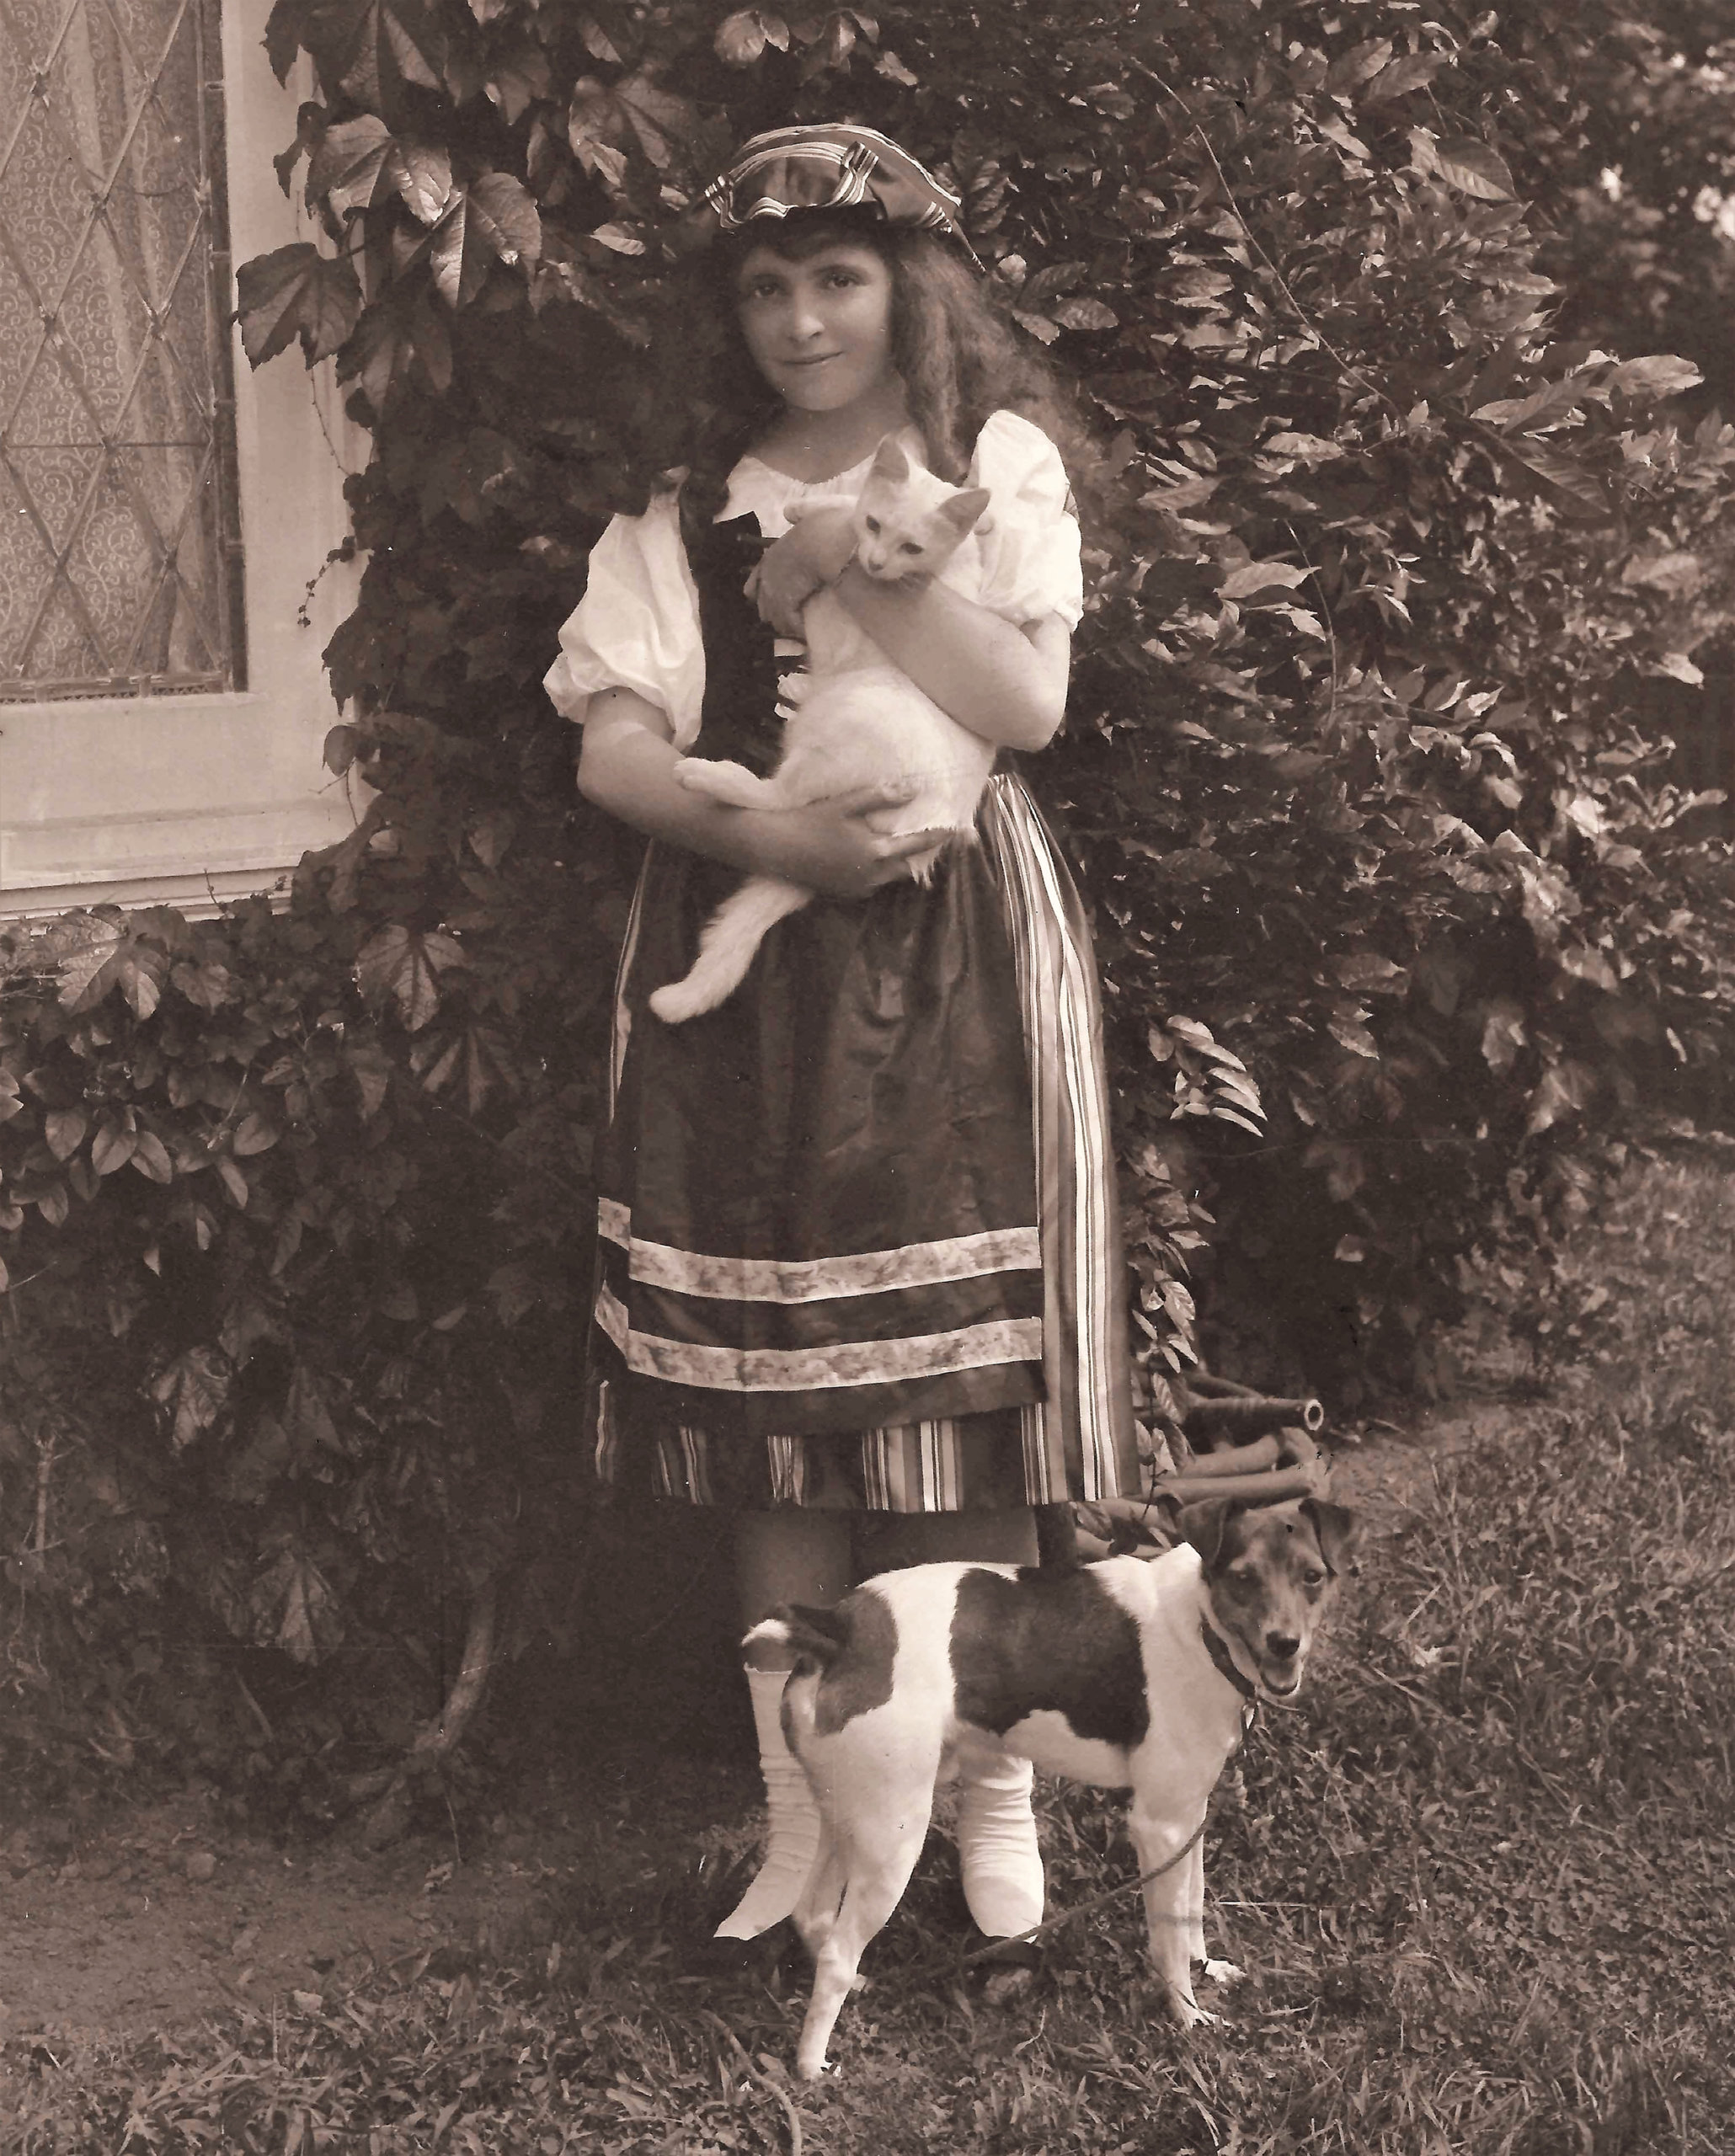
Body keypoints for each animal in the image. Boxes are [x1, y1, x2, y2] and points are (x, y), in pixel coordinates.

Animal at [650, 437, 996, 1026]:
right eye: (878, 526)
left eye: (912, 547)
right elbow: (845, 507)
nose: (875, 563)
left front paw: (813, 520)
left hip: (845, 722)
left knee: (778, 797)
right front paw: (814, 509)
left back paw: (709, 775)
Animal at [750, 1500, 1362, 2069]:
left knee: (812, 1915)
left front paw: (1206, 1969)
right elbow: (1167, 1936)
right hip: (893, 1837)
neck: (1200, 1625)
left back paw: (852, 1990)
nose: (1285, 1643)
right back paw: (811, 2068)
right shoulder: (1159, 1826)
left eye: (1312, 1576)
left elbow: (1190, 1906)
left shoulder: (1189, 1815)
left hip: (848, 1817)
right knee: (837, 1949)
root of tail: (837, 1629)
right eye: (1244, 1577)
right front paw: (1188, 2019)